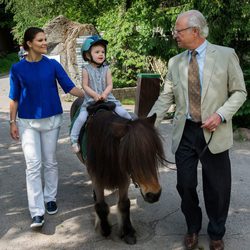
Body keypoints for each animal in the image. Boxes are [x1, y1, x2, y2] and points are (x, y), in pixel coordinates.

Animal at [70, 97, 166, 244]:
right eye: (130, 157)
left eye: (153, 153)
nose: (154, 194)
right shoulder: (97, 176)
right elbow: (101, 206)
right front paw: (105, 229)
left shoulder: (124, 177)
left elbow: (124, 204)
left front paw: (127, 232)